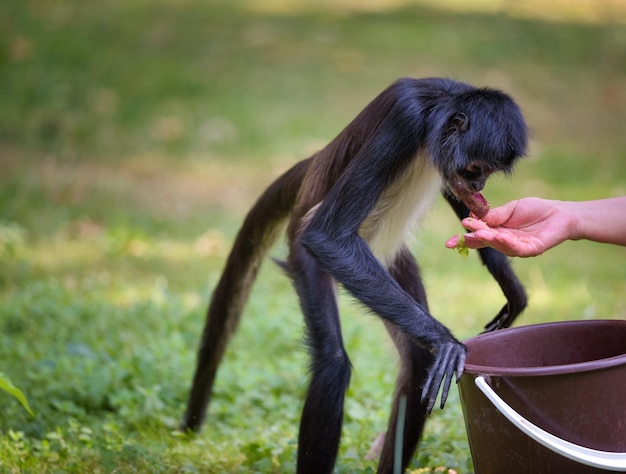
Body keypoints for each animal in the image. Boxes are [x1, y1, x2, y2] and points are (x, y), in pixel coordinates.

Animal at [180, 76, 528, 472]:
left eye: (486, 173)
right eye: (474, 169)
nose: (479, 186)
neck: (434, 109)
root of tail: (314, 163)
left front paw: (506, 279)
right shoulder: (404, 120)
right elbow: (326, 236)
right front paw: (446, 341)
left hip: (385, 263)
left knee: (417, 361)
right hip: (311, 256)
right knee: (332, 364)